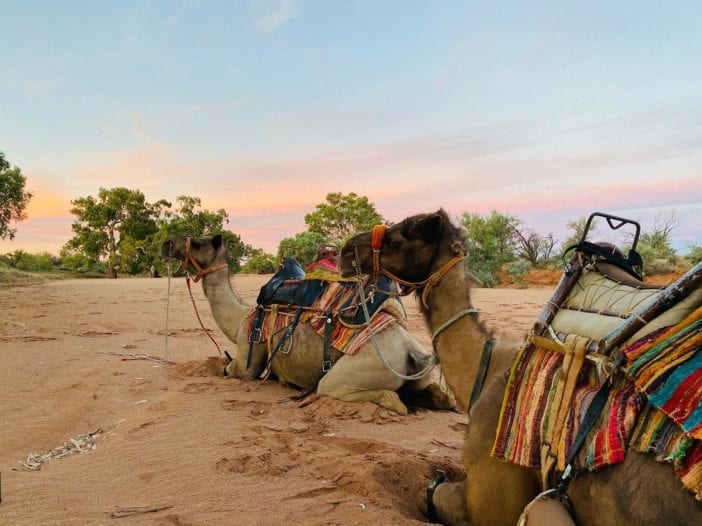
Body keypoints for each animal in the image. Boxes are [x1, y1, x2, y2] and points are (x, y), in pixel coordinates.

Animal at [162, 236, 454, 416]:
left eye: (198, 242)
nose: (167, 244)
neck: (241, 318)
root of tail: (411, 351)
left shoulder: (248, 353)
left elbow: (231, 369)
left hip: (361, 367)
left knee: (377, 397)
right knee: (442, 396)